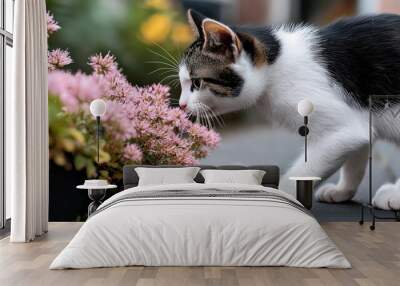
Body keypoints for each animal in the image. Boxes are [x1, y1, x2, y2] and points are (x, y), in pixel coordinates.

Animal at [178, 10, 400, 202]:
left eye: (196, 82)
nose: (181, 104)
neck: (275, 67)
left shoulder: (342, 130)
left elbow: (302, 172)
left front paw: (283, 194)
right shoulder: (359, 116)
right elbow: (359, 150)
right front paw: (343, 190)